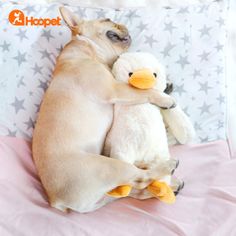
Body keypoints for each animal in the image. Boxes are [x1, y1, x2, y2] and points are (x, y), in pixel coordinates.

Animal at [31, 7, 177, 214]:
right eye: (107, 19)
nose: (123, 23)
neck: (87, 51)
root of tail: (55, 200)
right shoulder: (114, 89)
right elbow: (141, 91)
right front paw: (165, 98)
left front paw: (166, 88)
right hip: (109, 166)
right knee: (140, 178)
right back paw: (168, 167)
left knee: (131, 188)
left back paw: (170, 185)